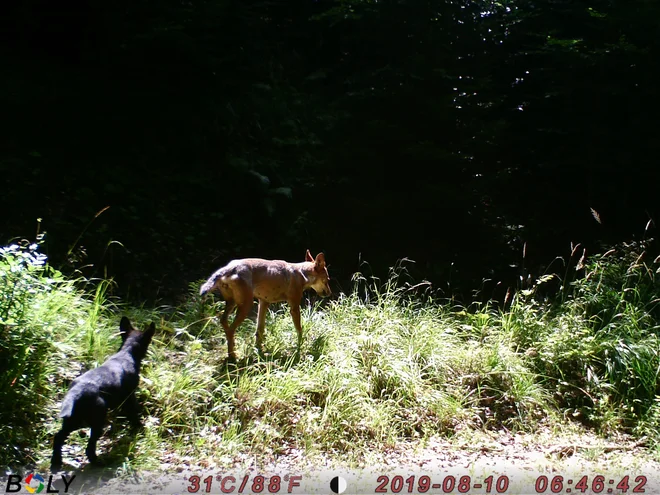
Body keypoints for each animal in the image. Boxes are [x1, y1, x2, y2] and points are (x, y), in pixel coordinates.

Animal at [50, 316, 156, 470]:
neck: (127, 353)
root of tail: (76, 393)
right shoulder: (129, 396)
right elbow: (133, 413)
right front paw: (138, 427)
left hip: (73, 420)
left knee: (58, 437)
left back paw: (56, 461)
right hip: (96, 419)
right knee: (90, 445)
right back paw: (97, 462)